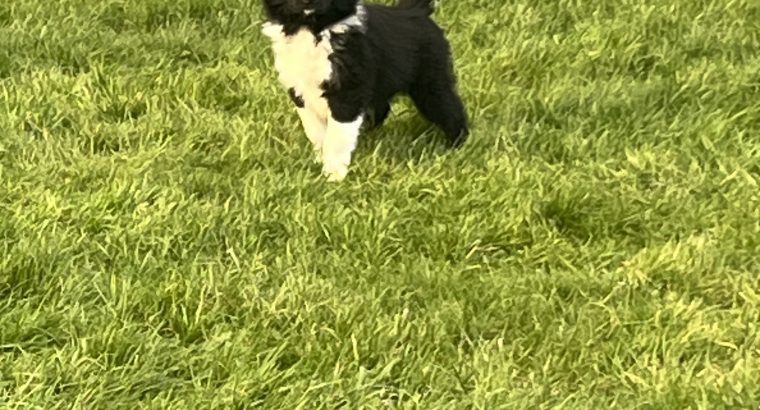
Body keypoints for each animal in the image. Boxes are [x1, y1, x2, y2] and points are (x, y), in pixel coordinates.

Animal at [262, 0, 466, 181]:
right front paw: (319, 162)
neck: (312, 30)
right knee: (382, 109)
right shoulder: (300, 91)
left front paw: (333, 175)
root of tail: (416, 10)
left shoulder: (347, 92)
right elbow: (315, 131)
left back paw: (456, 146)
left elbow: (337, 137)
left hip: (430, 84)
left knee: (451, 108)